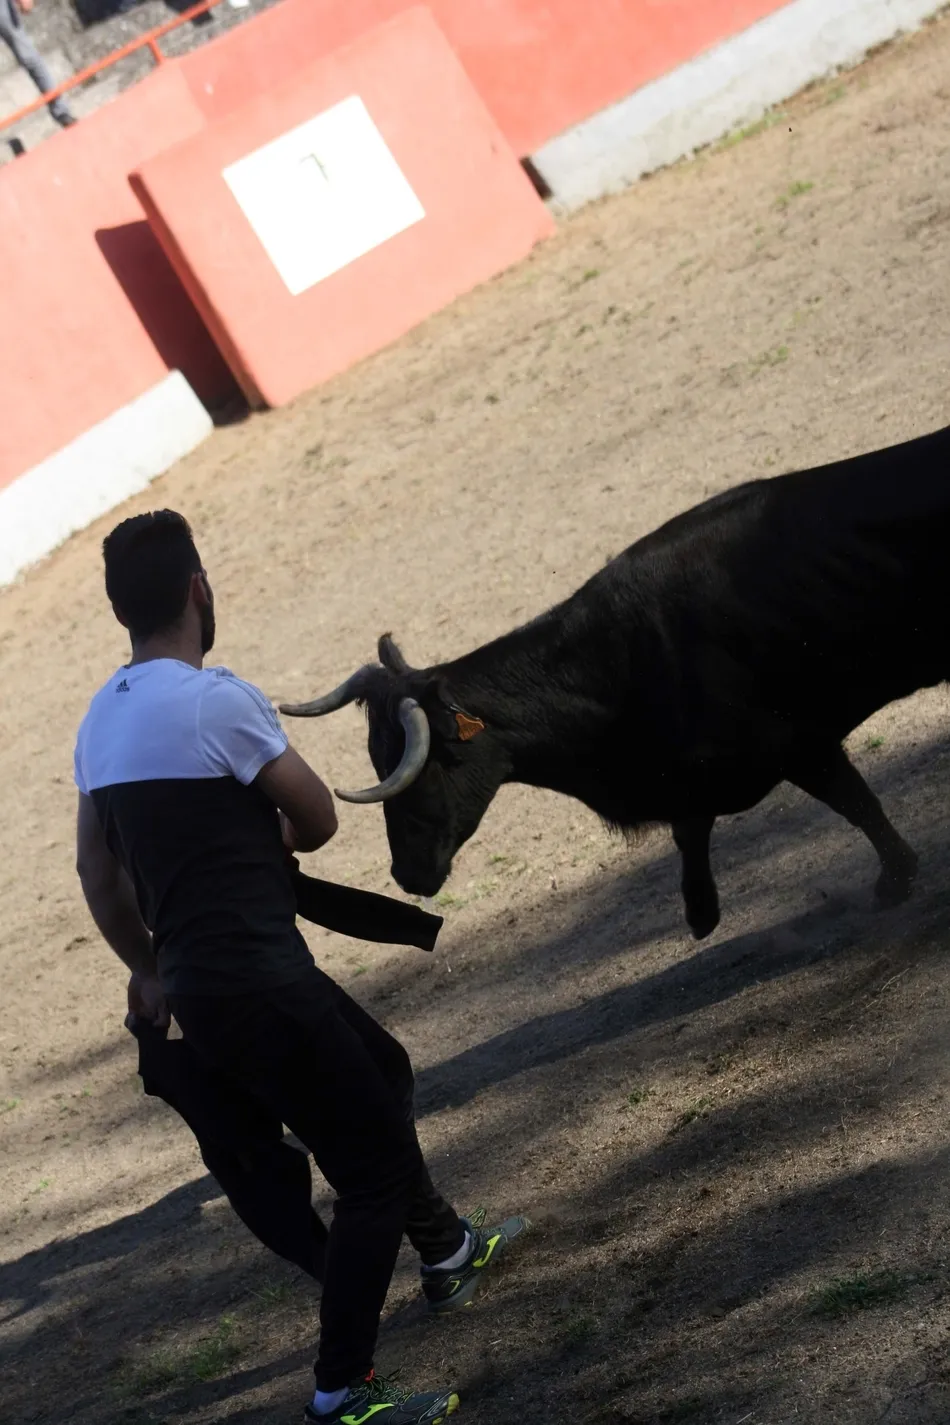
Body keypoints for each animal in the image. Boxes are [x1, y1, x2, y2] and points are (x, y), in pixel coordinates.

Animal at [279, 423, 950, 940]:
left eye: (422, 768)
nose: (406, 876)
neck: (613, 664)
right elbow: (691, 830)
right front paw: (700, 913)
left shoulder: (798, 744)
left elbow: (855, 803)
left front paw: (894, 881)